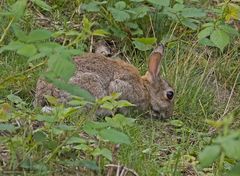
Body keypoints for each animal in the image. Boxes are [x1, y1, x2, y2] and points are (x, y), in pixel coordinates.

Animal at [34, 43, 174, 119]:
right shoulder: (121, 87)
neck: (146, 89)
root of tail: (44, 95)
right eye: (170, 94)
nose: (169, 114)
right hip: (90, 90)